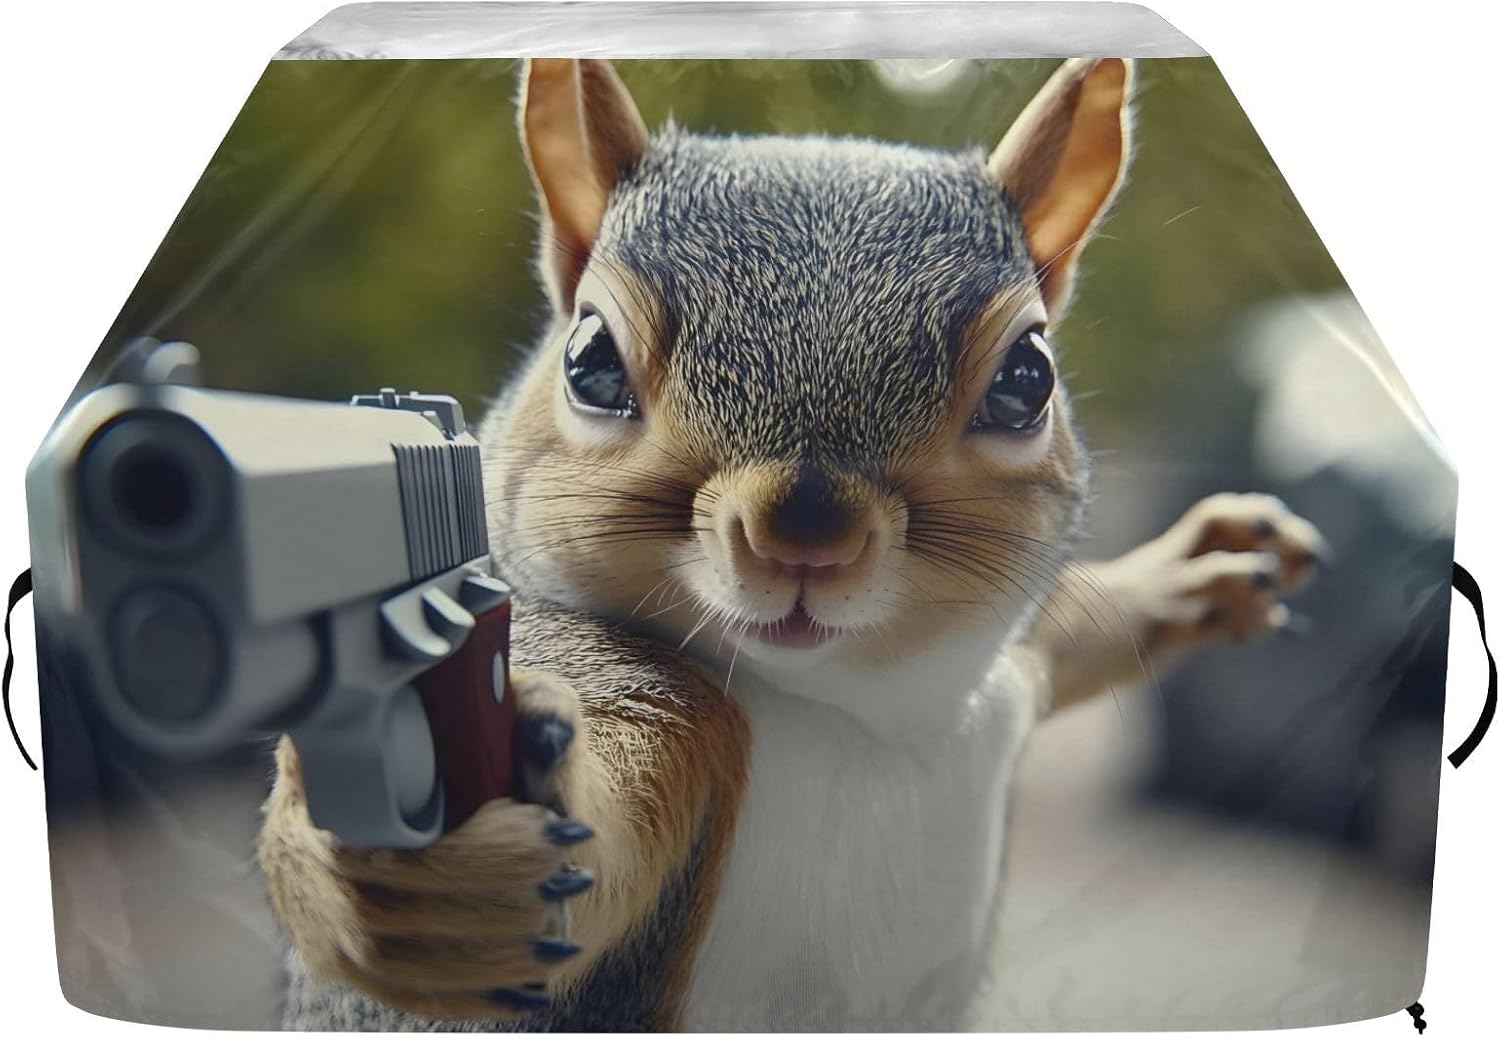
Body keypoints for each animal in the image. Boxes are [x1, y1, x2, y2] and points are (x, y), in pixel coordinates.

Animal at [257, 57, 1326, 1031]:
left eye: (1028, 377)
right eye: (590, 361)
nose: (806, 540)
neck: (865, 717)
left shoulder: (1010, 671)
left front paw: (1194, 569)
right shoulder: (653, 709)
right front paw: (424, 880)